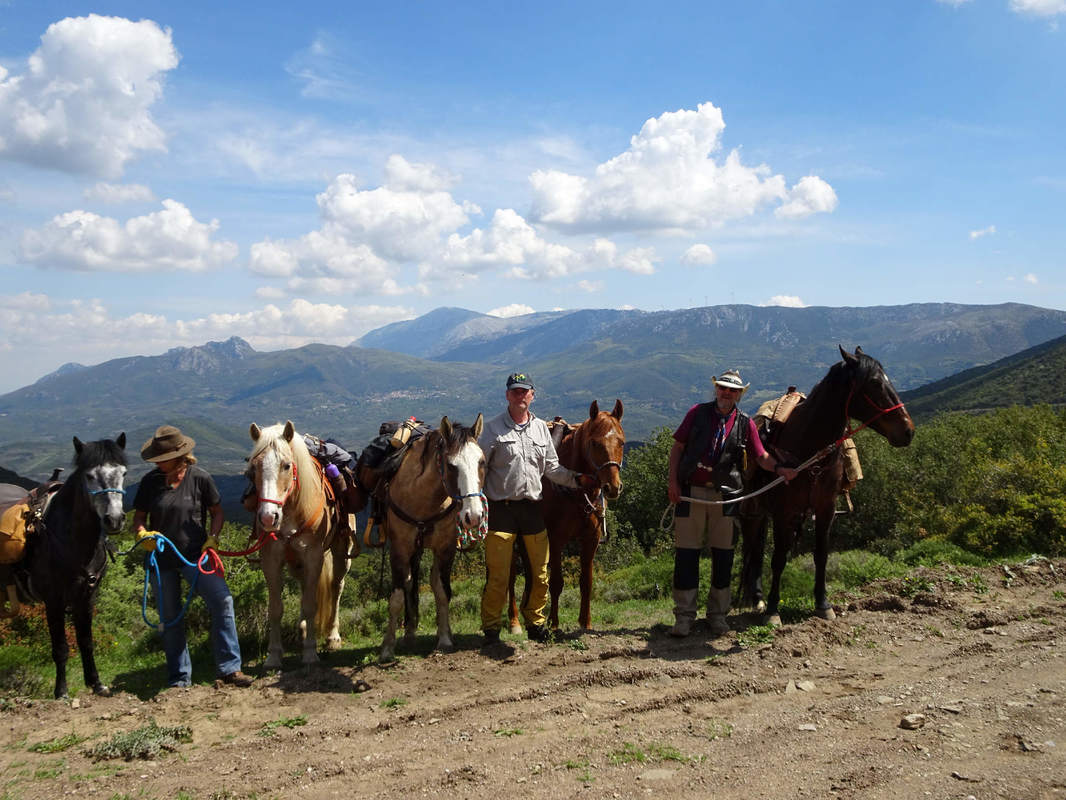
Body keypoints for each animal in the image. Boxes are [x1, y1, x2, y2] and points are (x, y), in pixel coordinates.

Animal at [1, 435, 126, 699]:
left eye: (123, 472)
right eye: (89, 476)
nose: (114, 520)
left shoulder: (87, 596)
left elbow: (86, 641)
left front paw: (96, 683)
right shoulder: (53, 600)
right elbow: (60, 647)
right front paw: (61, 691)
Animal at [381, 416, 486, 661]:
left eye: (482, 462)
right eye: (451, 465)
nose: (474, 516)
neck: (422, 498)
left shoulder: (445, 549)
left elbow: (442, 591)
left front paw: (445, 639)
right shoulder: (399, 550)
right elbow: (397, 597)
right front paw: (387, 647)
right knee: (409, 583)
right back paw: (408, 634)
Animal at [507, 398, 622, 631]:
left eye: (621, 442)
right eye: (595, 443)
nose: (612, 487)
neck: (577, 491)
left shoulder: (591, 539)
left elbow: (586, 582)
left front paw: (585, 622)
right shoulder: (555, 539)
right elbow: (556, 582)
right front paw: (553, 623)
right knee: (511, 576)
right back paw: (514, 620)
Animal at [741, 347, 916, 631]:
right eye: (875, 383)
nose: (908, 431)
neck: (809, 450)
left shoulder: (826, 508)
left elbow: (821, 555)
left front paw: (823, 604)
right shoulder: (784, 513)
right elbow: (778, 559)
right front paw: (773, 609)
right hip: (751, 511)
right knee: (751, 547)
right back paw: (756, 598)